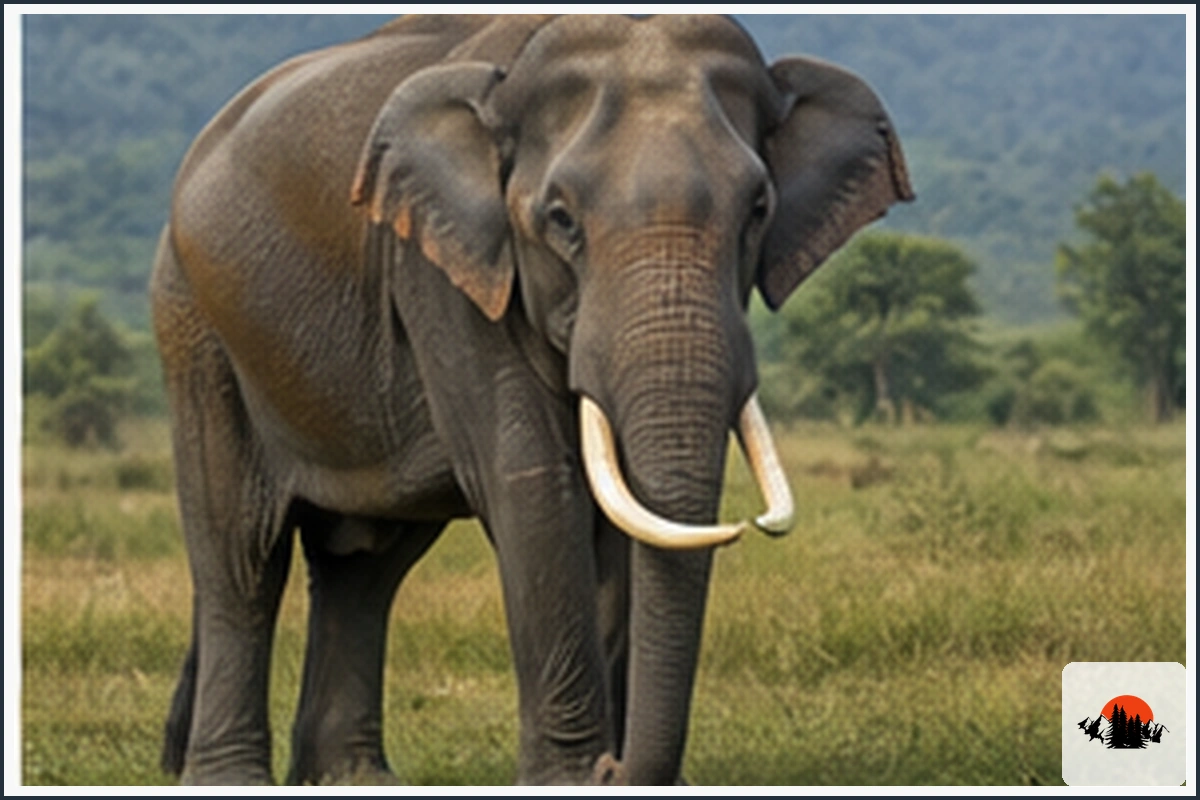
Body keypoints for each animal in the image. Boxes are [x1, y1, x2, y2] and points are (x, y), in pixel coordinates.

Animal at [150, 14, 912, 786]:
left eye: (758, 210)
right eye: (561, 219)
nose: (615, 765)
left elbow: (620, 514)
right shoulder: (444, 273)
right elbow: (536, 488)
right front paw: (574, 780)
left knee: (363, 562)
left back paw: (353, 779)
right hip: (195, 324)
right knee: (242, 554)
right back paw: (231, 777)